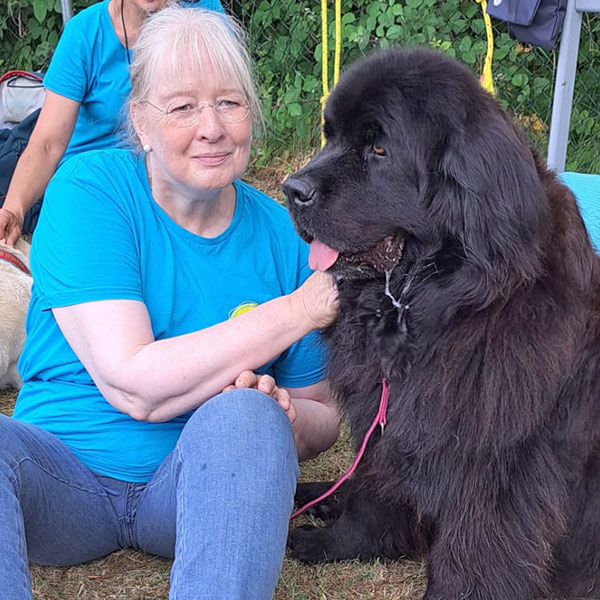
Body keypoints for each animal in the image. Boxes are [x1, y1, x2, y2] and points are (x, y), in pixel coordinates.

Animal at [284, 48, 600, 600]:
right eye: (331, 135)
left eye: (379, 149)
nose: (290, 189)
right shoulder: (386, 416)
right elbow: (372, 493)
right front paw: (342, 542)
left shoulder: (493, 468)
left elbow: (473, 553)